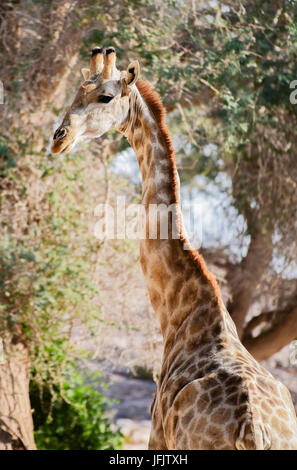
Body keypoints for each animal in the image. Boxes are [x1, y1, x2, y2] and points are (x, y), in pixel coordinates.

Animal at [51, 46, 296, 448]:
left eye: (105, 96)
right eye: (75, 92)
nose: (58, 138)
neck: (180, 309)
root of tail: (254, 429)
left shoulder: (157, 433)